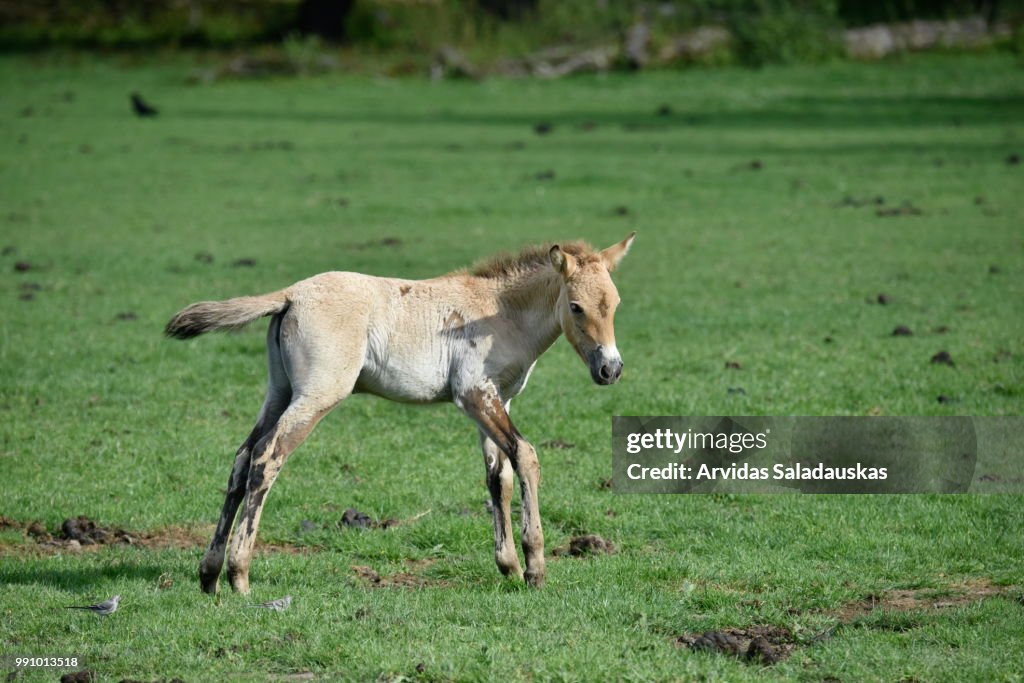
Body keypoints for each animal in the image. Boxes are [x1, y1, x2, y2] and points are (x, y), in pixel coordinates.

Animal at [165, 233, 630, 593]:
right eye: (575, 306)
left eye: (616, 303)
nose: (610, 369)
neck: (500, 312)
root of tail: (291, 295)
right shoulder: (475, 394)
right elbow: (527, 456)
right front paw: (534, 567)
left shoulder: (498, 400)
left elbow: (499, 479)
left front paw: (510, 566)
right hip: (316, 395)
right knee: (267, 458)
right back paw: (239, 576)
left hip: (279, 393)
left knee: (243, 458)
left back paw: (209, 575)